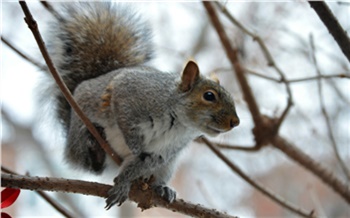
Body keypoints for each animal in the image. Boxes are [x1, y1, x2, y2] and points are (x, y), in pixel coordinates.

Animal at [47, 2, 241, 209]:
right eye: (209, 96)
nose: (235, 122)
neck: (178, 122)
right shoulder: (129, 93)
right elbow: (125, 120)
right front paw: (134, 146)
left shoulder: (165, 151)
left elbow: (143, 162)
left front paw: (124, 183)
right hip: (79, 126)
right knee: (85, 161)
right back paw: (94, 147)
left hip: (169, 166)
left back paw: (162, 188)